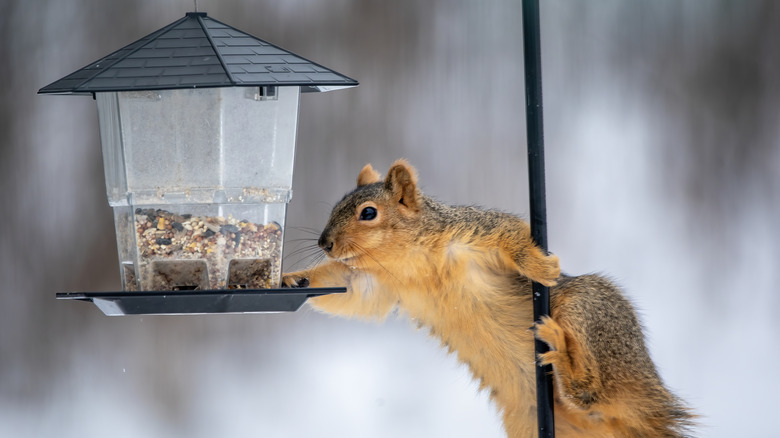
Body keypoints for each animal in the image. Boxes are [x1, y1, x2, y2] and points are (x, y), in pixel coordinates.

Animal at [282, 159, 694, 438]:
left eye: (368, 213)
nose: (324, 244)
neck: (408, 261)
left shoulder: (475, 230)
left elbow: (512, 235)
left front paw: (539, 265)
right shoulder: (380, 286)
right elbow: (352, 294)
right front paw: (294, 278)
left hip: (588, 308)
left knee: (590, 390)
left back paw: (559, 350)